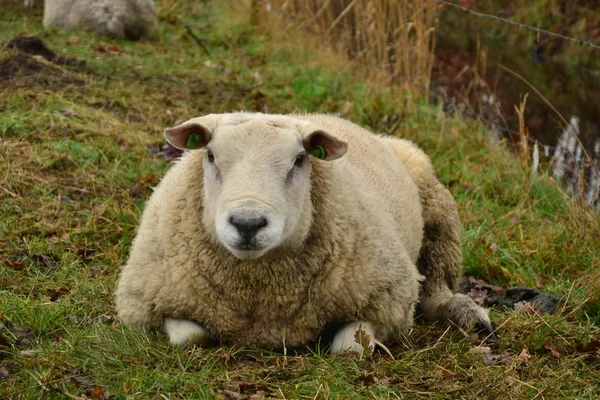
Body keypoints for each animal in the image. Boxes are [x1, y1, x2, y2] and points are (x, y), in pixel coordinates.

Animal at [112, 112, 492, 354]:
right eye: (210, 156)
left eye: (299, 160)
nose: (248, 223)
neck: (260, 300)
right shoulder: (148, 301)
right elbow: (189, 338)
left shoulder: (387, 303)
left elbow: (350, 348)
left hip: (438, 212)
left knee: (436, 286)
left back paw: (464, 312)